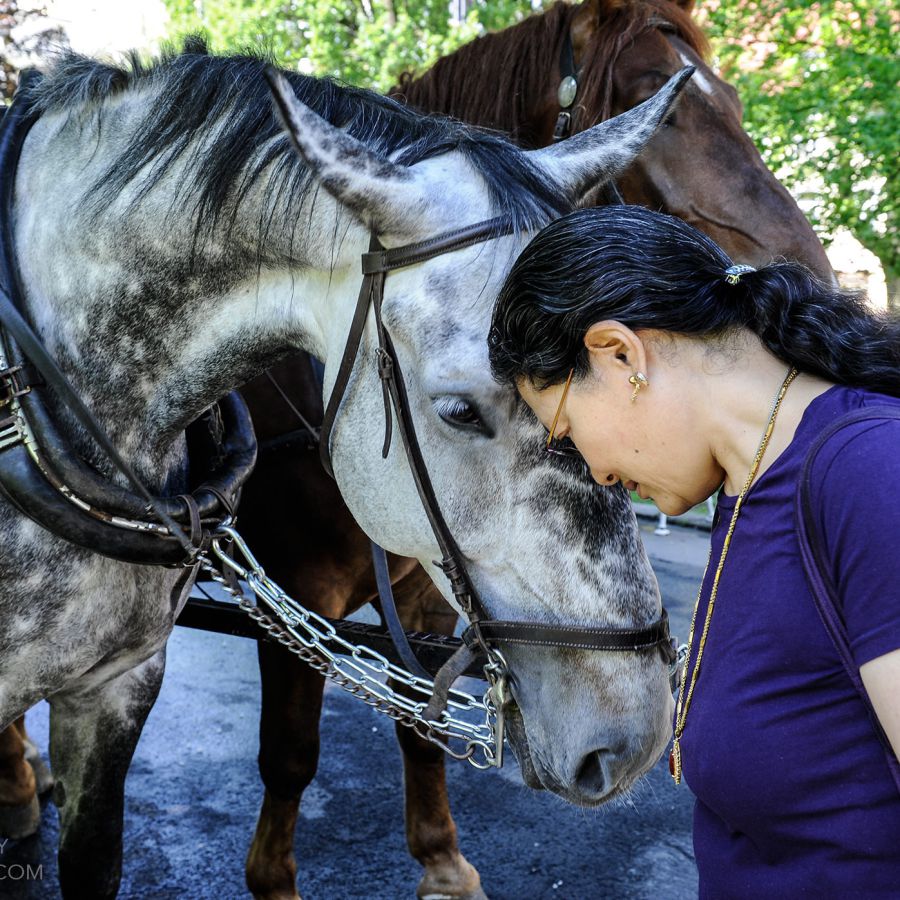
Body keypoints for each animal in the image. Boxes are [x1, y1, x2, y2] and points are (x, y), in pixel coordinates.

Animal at [235, 2, 835, 898]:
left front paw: (442, 860)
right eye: (657, 100)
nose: (810, 272)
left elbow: (422, 721)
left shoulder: (430, 587)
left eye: (732, 97)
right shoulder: (293, 587)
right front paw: (274, 876)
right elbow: (290, 754)